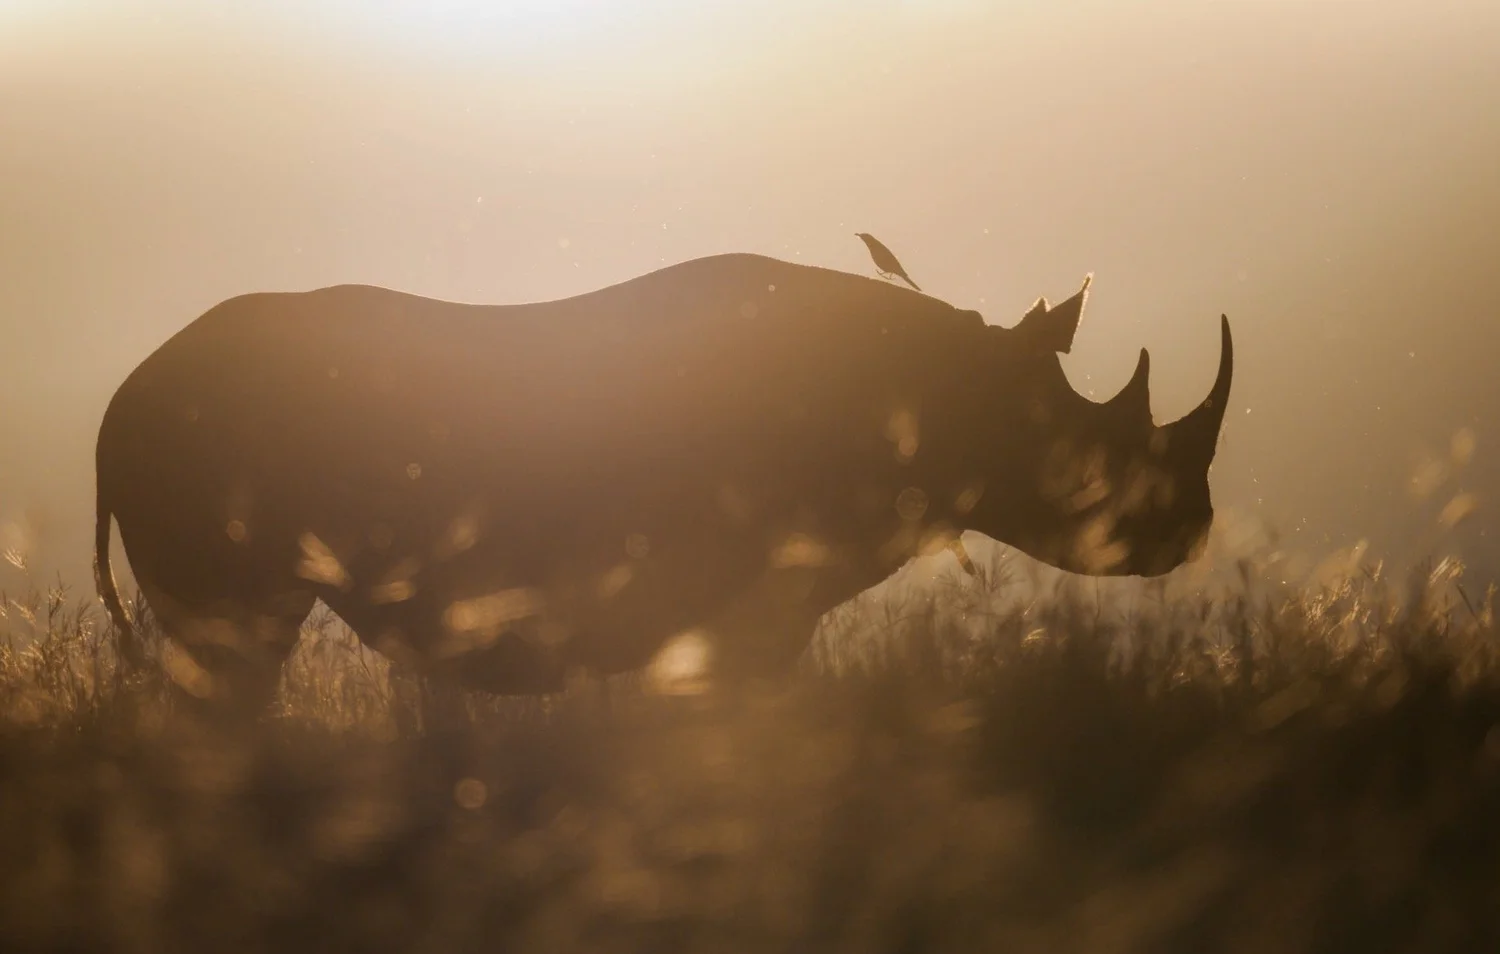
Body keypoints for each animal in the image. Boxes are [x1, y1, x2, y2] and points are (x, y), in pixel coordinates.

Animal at [94, 252, 1231, 716]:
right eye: (1094, 458)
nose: (1191, 531)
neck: (957, 389)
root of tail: (118, 402)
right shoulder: (748, 603)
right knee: (231, 660)